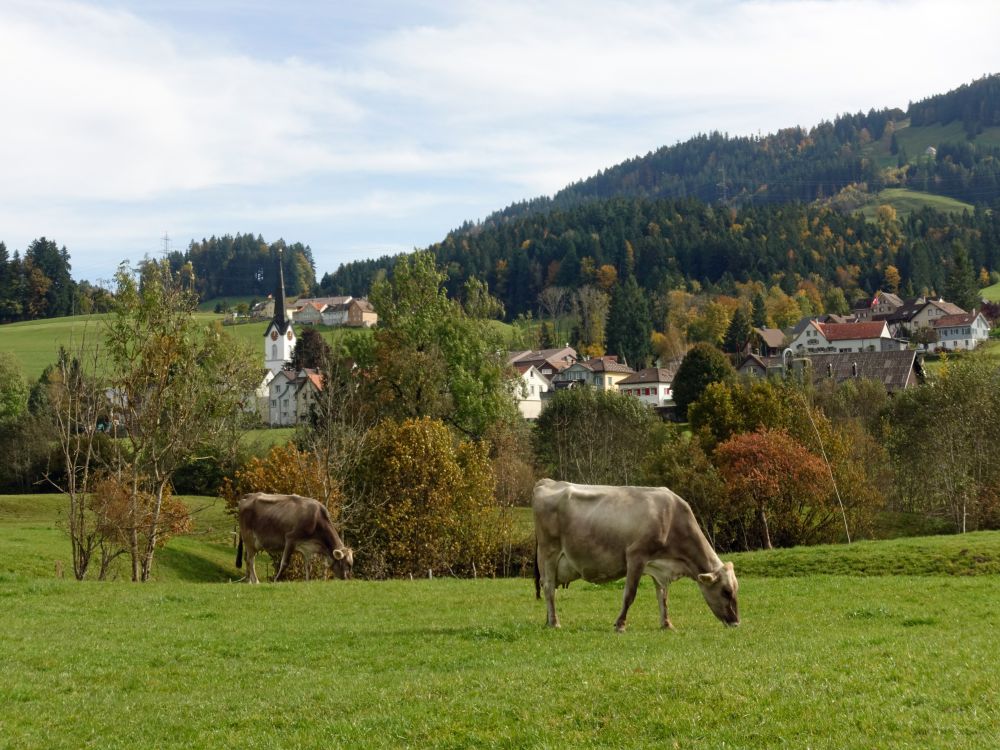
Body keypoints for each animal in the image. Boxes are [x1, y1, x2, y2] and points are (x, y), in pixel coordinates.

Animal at [536, 478, 740, 632]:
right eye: (726, 591)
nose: (736, 622)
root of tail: (548, 482)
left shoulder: (660, 567)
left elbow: (663, 597)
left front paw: (667, 624)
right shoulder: (636, 556)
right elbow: (630, 594)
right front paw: (620, 625)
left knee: (550, 588)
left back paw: (548, 620)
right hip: (549, 552)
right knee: (548, 587)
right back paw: (555, 622)